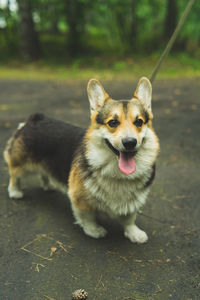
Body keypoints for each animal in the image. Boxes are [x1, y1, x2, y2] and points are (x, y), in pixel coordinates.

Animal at [3, 77, 159, 244]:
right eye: (113, 123)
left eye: (139, 122)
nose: (130, 142)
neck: (116, 172)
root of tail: (35, 118)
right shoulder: (80, 199)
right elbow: (88, 217)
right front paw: (94, 230)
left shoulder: (132, 202)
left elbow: (129, 218)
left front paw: (134, 233)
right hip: (21, 164)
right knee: (14, 175)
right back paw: (15, 192)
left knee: (43, 172)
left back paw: (48, 185)